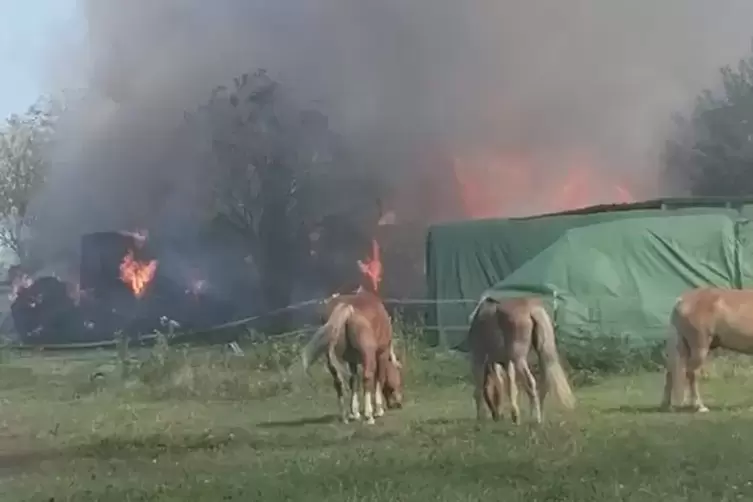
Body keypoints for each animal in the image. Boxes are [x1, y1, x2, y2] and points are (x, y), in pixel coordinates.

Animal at [302, 290, 402, 424]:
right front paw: (378, 410)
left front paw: (354, 413)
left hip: (331, 360)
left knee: (338, 382)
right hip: (368, 356)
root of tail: (347, 308)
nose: (399, 403)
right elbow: (379, 378)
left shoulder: (352, 361)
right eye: (398, 374)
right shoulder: (382, 354)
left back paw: (344, 416)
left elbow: (353, 381)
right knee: (367, 377)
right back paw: (369, 415)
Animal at [464, 296, 576, 426]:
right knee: (543, 385)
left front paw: (480, 417)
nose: (496, 416)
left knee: (530, 382)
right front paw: (515, 415)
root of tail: (532, 310)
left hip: (519, 360)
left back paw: (535, 417)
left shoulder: (479, 359)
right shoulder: (506, 362)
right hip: (539, 354)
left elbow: (480, 389)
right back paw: (540, 415)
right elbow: (510, 387)